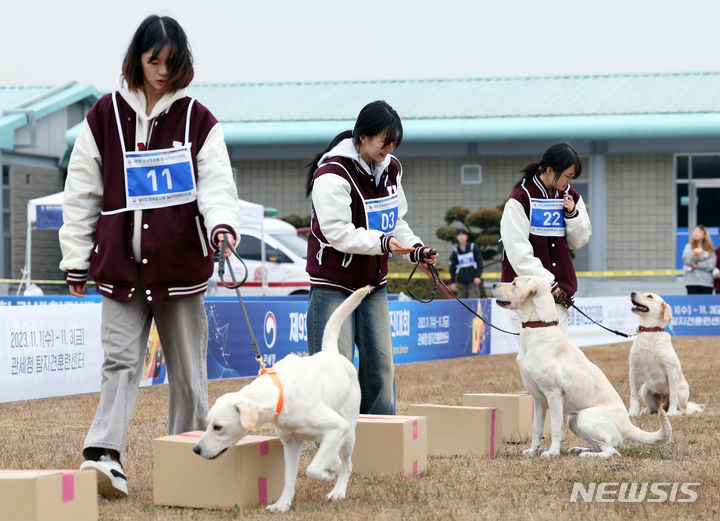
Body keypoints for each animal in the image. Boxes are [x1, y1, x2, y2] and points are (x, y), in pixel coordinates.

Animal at [193, 286, 366, 510]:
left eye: (218, 427)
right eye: (207, 425)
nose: (196, 449)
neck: (281, 392)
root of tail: (332, 353)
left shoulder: (338, 427)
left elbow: (311, 469)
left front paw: (326, 476)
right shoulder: (291, 443)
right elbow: (289, 478)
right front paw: (283, 504)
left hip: (348, 431)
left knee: (347, 464)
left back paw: (338, 490)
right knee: (333, 455)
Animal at [492, 274, 672, 458]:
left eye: (514, 283)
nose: (493, 284)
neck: (537, 328)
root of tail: (628, 426)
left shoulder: (553, 394)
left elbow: (555, 428)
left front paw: (552, 452)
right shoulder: (538, 398)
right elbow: (536, 429)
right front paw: (533, 450)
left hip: (584, 417)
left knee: (612, 451)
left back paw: (588, 455)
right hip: (573, 420)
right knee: (602, 446)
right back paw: (581, 449)